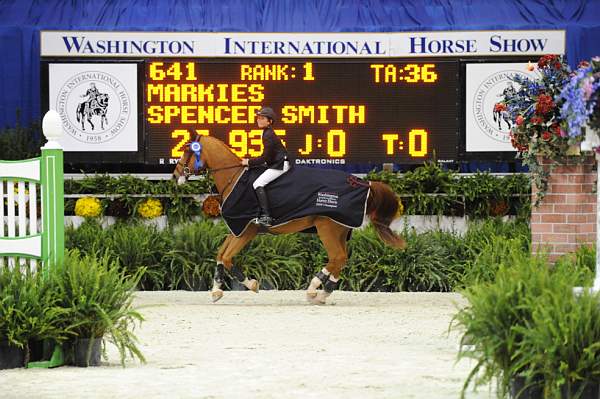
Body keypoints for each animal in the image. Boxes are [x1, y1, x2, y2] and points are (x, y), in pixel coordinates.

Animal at [173, 136, 408, 304]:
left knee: (337, 257)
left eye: (187, 151)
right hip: (340, 229)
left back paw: (314, 289)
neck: (235, 179)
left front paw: (252, 284)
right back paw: (324, 293)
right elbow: (220, 255)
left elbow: (228, 257)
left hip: (327, 228)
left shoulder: (246, 230)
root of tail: (362, 183)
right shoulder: (238, 229)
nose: (175, 176)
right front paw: (216, 291)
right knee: (341, 259)